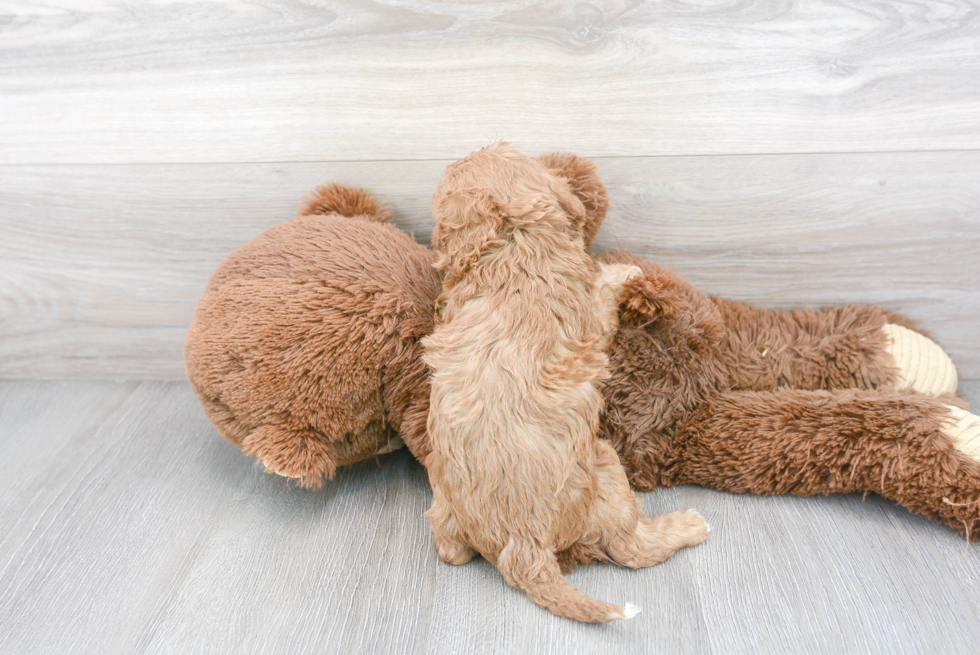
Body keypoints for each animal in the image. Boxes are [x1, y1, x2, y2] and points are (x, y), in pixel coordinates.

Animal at [422, 144, 712, 624]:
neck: (514, 238)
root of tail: (524, 549)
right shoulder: (593, 319)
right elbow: (605, 291)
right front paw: (624, 271)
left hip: (443, 500)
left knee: (450, 551)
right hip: (606, 469)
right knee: (631, 548)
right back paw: (689, 525)